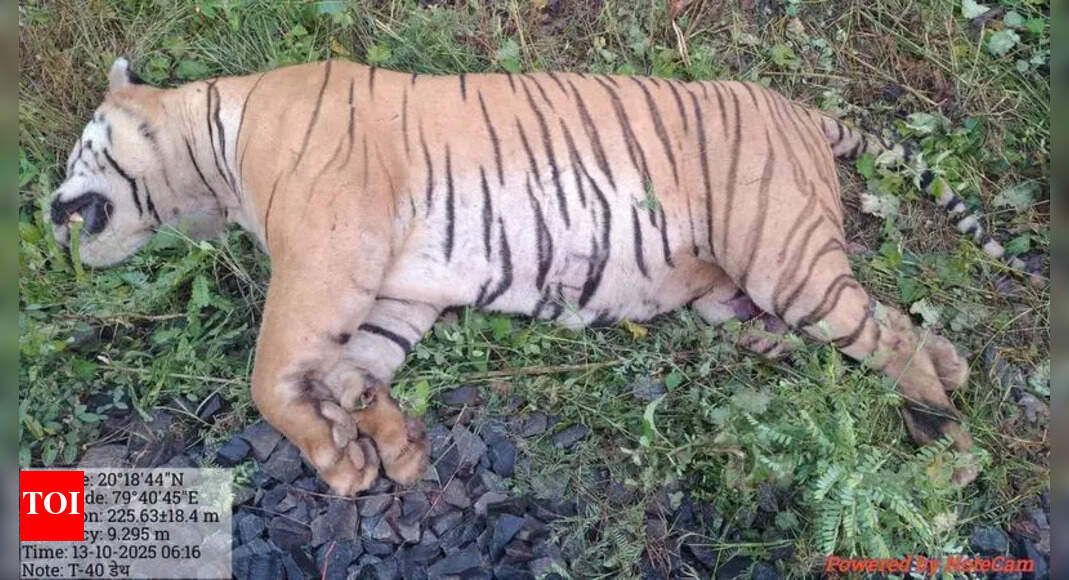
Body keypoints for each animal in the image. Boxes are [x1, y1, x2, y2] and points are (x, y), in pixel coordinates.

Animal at [48, 57, 1025, 494]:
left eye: (82, 148)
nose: (50, 207)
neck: (209, 157)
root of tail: (798, 109)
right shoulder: (397, 289)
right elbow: (350, 369)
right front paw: (390, 445)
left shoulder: (324, 259)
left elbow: (268, 377)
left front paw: (342, 466)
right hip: (742, 298)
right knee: (885, 332)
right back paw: (952, 379)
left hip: (784, 257)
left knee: (887, 335)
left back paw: (951, 456)